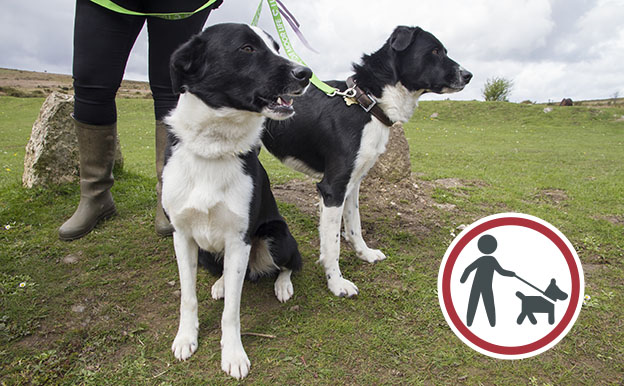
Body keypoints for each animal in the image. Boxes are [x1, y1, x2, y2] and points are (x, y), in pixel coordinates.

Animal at [162, 22, 312, 378]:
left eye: (275, 46)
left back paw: (282, 285)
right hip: (207, 253)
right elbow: (188, 297)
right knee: (226, 274)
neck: (213, 147)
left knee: (290, 264)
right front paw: (186, 338)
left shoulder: (239, 239)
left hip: (276, 237)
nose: (306, 73)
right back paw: (220, 284)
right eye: (247, 48)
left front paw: (233, 354)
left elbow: (232, 310)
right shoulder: (182, 236)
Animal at [260, 25, 470, 298]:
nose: (468, 75)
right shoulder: (333, 188)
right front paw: (336, 283)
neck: (365, 103)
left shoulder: (353, 182)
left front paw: (364, 254)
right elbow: (333, 245)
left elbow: (354, 225)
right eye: (435, 51)